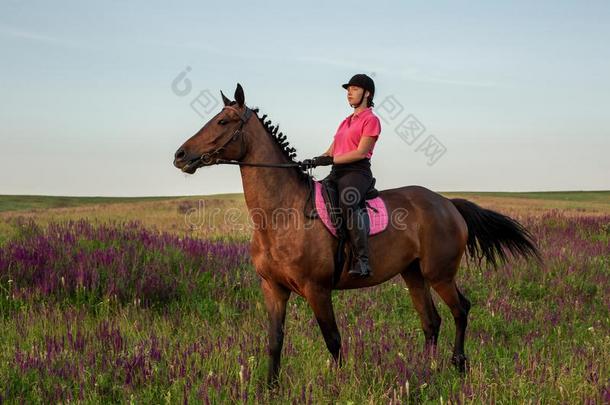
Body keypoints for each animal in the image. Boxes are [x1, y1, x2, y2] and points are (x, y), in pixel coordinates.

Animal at [172, 83, 540, 386]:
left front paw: (339, 385)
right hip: (413, 274)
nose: (180, 155)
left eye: (223, 122)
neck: (281, 212)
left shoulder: (317, 289)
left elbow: (333, 340)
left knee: (460, 310)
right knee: (431, 321)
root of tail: (447, 203)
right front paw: (269, 388)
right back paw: (425, 371)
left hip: (440, 274)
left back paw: (458, 365)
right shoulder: (273, 288)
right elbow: (275, 341)